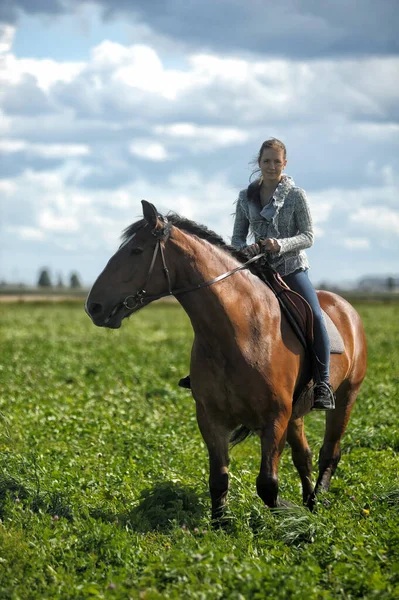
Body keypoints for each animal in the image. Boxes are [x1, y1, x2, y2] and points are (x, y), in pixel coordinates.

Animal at [86, 200, 368, 520]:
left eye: (136, 250)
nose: (93, 306)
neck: (239, 333)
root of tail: (345, 307)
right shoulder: (211, 418)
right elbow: (219, 479)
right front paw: (221, 522)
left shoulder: (274, 418)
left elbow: (267, 485)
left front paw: (286, 517)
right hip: (297, 412)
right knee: (303, 456)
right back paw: (308, 502)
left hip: (345, 397)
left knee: (329, 452)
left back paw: (317, 501)